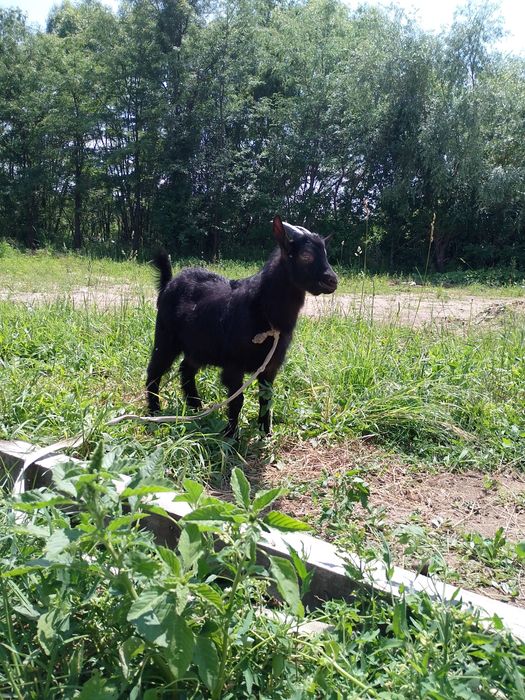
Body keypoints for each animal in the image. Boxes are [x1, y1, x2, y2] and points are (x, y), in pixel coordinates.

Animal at [146, 215, 338, 436]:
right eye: (306, 255)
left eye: (326, 254)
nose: (333, 280)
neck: (264, 313)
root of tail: (168, 283)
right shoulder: (233, 364)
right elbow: (237, 400)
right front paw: (230, 435)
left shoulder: (270, 366)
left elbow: (266, 398)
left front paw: (265, 432)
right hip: (165, 337)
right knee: (154, 371)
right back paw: (154, 412)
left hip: (198, 346)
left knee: (186, 368)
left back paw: (196, 407)